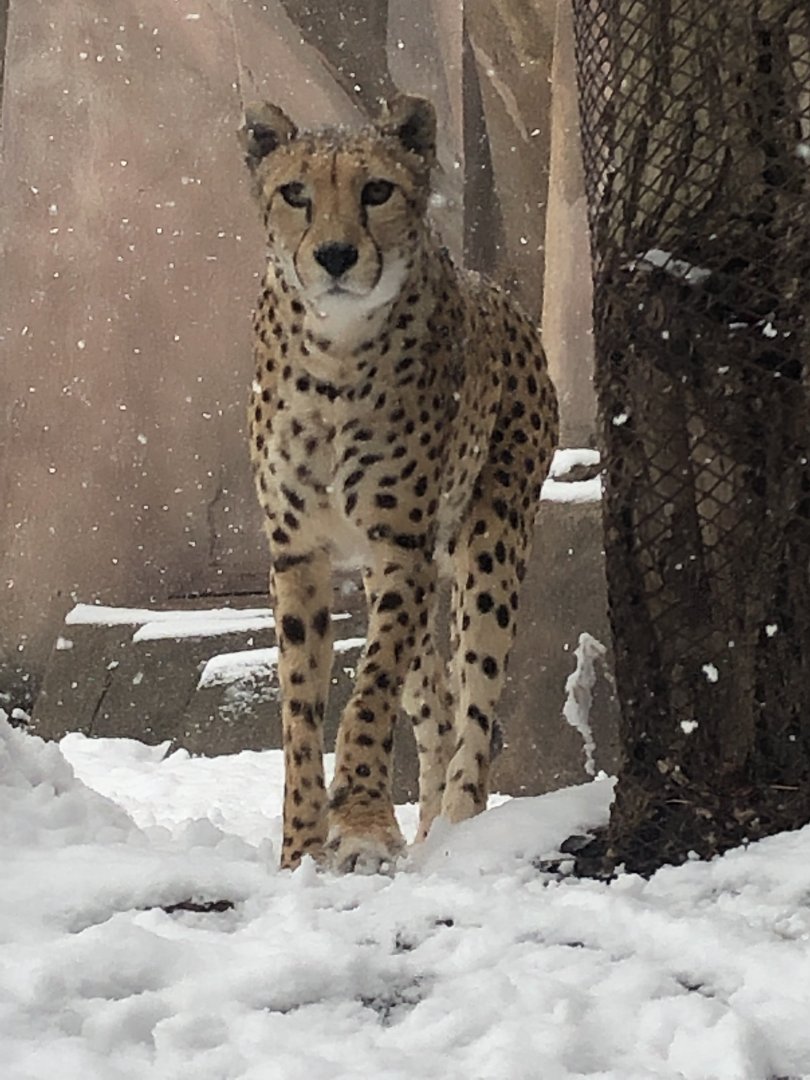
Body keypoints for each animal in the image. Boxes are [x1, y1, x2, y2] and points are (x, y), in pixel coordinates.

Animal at [240, 94, 559, 873]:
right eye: (296, 193)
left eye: (376, 191)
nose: (334, 255)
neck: (333, 351)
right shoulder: (298, 554)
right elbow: (300, 711)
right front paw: (300, 848)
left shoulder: (399, 543)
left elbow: (368, 690)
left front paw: (359, 825)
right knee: (436, 705)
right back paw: (428, 832)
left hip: (489, 544)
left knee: (475, 706)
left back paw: (459, 832)